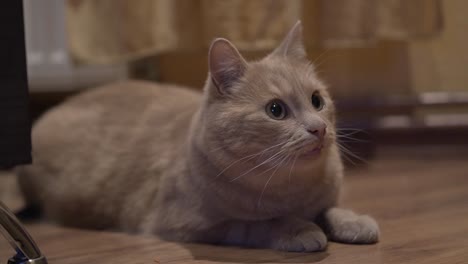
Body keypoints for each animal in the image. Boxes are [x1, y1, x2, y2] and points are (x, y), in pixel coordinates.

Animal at [16, 21, 378, 252]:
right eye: (276, 110)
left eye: (317, 101)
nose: (318, 128)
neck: (292, 189)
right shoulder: (189, 224)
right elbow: (262, 223)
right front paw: (298, 228)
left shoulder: (323, 198)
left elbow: (330, 208)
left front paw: (353, 221)